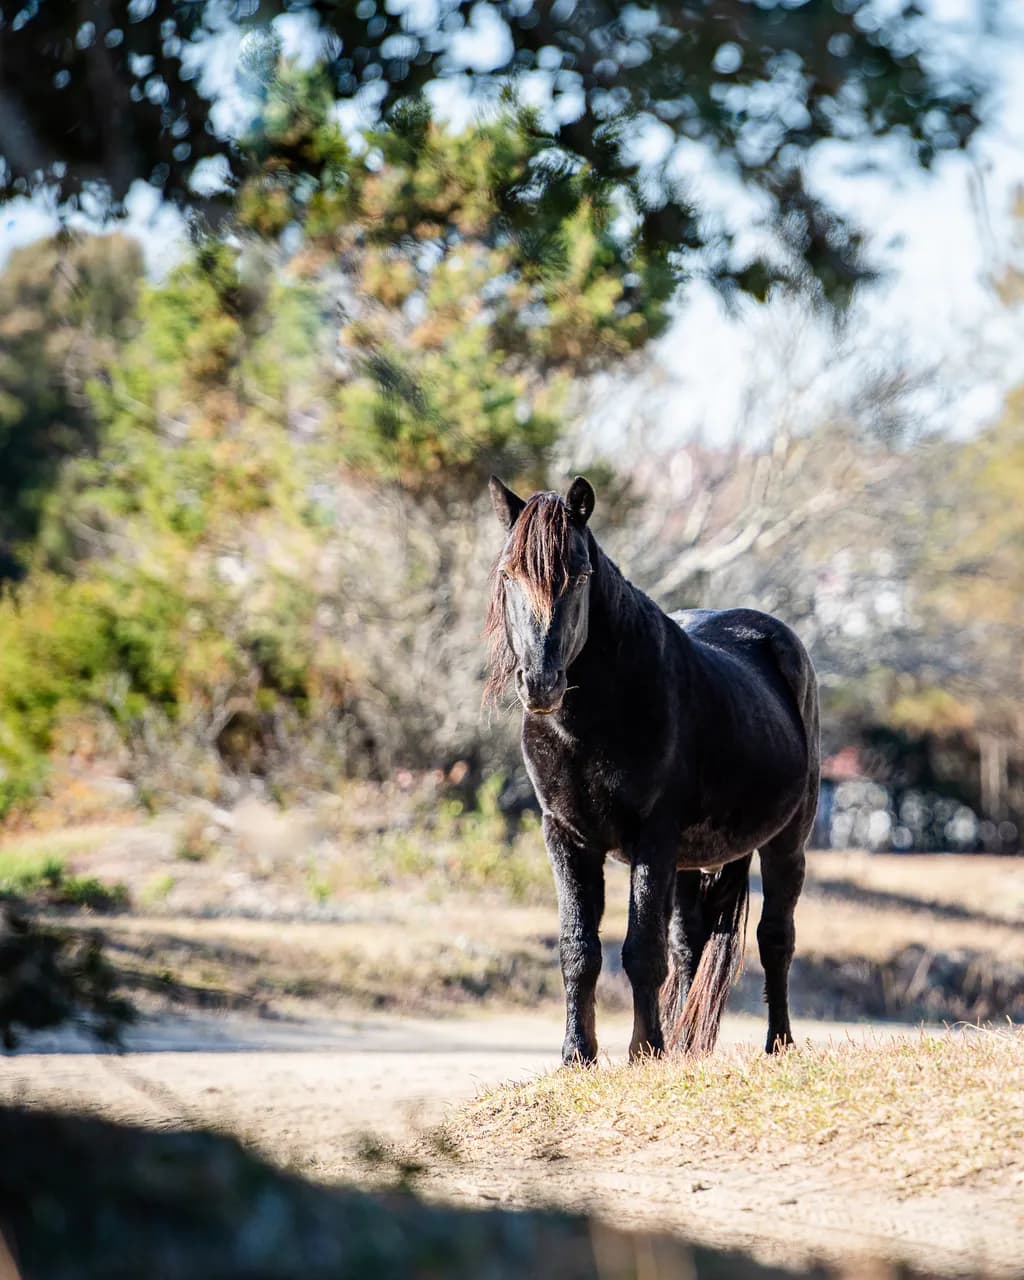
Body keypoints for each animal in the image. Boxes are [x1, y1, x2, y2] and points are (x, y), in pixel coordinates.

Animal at [485, 475, 820, 1063]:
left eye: (581, 575)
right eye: (508, 574)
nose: (541, 684)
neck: (589, 726)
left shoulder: (653, 837)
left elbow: (641, 948)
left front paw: (645, 1049)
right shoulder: (566, 836)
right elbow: (579, 946)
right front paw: (578, 1054)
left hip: (786, 844)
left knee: (776, 939)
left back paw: (777, 1044)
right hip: (690, 863)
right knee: (689, 945)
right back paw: (687, 1046)